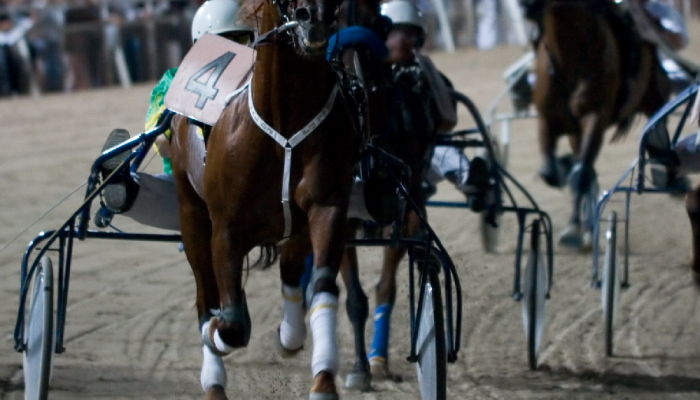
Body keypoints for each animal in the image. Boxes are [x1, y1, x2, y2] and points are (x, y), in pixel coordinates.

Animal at [167, 0, 358, 398]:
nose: (315, 18)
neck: (285, 122)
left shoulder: (327, 207)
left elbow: (322, 288)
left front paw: (322, 380)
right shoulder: (225, 229)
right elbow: (231, 325)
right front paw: (217, 330)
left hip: (293, 228)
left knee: (290, 271)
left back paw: (289, 334)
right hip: (190, 212)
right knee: (205, 296)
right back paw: (213, 378)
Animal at [532, 0, 672, 248]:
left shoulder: (595, 119)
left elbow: (580, 176)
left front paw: (573, 229)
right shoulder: (547, 120)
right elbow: (551, 171)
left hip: (653, 95)